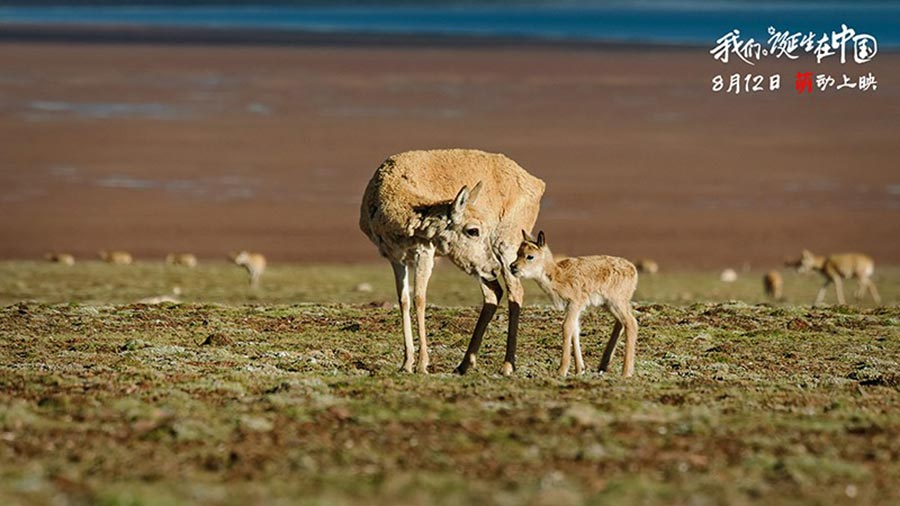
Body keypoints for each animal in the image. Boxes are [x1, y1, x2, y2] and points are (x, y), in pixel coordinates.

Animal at [356, 148, 540, 374]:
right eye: (473, 230)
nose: (494, 267)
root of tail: (536, 182)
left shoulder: (424, 253)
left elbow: (419, 299)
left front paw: (422, 364)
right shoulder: (396, 258)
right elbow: (404, 300)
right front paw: (406, 363)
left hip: (506, 249)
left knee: (515, 292)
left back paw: (506, 366)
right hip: (478, 269)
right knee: (493, 293)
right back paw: (464, 364)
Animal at [512, 231, 640, 378]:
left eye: (530, 256)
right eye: (517, 253)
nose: (512, 267)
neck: (559, 276)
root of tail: (633, 269)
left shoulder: (575, 304)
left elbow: (567, 327)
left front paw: (562, 370)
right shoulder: (572, 308)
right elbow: (575, 330)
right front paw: (580, 369)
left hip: (617, 302)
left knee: (631, 323)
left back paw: (626, 372)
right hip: (610, 304)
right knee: (621, 323)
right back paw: (603, 365)